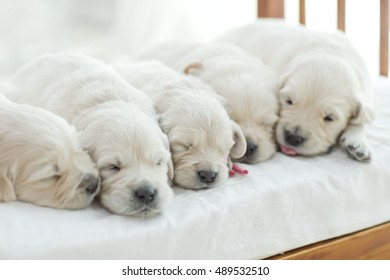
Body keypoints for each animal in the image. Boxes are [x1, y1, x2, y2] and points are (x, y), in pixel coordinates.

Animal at [219, 19, 374, 162]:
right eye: (289, 101)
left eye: (329, 118)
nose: (293, 137)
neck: (331, 53)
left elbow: (362, 120)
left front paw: (357, 142)